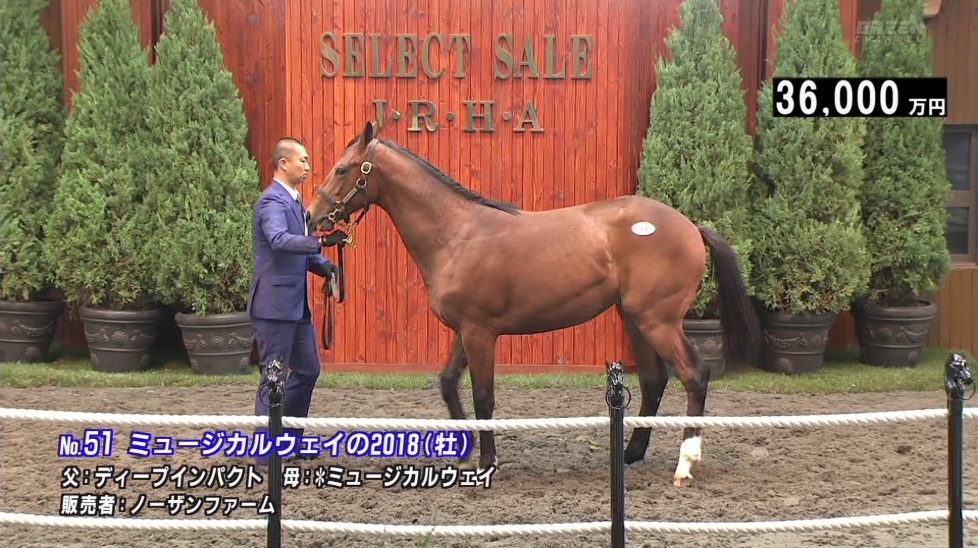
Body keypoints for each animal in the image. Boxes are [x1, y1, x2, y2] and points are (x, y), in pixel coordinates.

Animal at [305, 122, 762, 486]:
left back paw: (685, 464)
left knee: (694, 376)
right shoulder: (464, 331)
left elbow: (484, 396)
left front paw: (487, 461)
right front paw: (463, 447)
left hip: (658, 321)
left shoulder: (480, 332)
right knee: (653, 381)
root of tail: (690, 226)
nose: (311, 216)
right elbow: (449, 382)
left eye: (342, 169)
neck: (456, 233)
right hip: (635, 319)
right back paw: (630, 454)